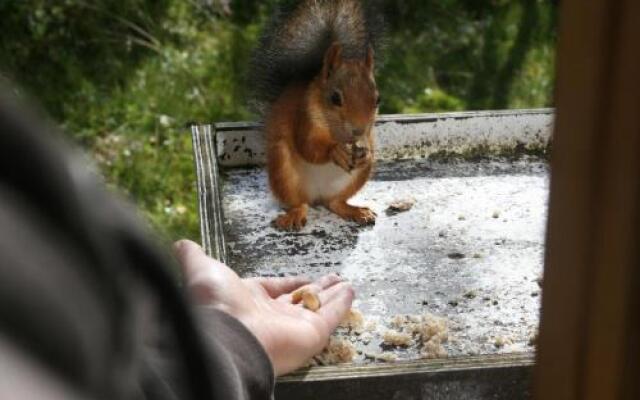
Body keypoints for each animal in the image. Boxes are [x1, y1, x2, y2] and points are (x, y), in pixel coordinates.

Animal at [248, 0, 382, 230]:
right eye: (335, 98)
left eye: (377, 100)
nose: (358, 130)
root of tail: (316, 195)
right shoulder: (304, 118)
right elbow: (308, 147)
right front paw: (335, 151)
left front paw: (366, 153)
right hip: (283, 171)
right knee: (299, 202)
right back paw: (294, 214)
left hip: (353, 181)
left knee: (334, 202)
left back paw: (355, 211)